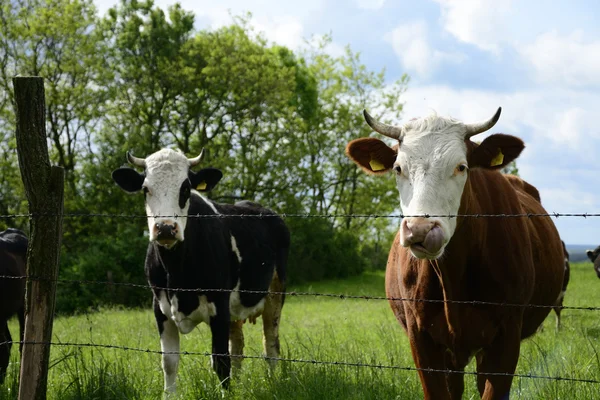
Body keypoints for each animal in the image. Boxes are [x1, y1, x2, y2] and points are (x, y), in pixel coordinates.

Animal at [113, 148, 292, 392]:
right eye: (145, 189)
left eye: (186, 188)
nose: (166, 228)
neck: (177, 273)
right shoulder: (160, 308)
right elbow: (169, 362)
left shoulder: (219, 304)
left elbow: (221, 361)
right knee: (238, 346)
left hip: (275, 292)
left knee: (271, 343)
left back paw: (273, 382)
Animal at [344, 108, 564, 400]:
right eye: (398, 168)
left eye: (461, 167)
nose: (421, 229)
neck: (454, 278)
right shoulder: (421, 338)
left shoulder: (506, 337)